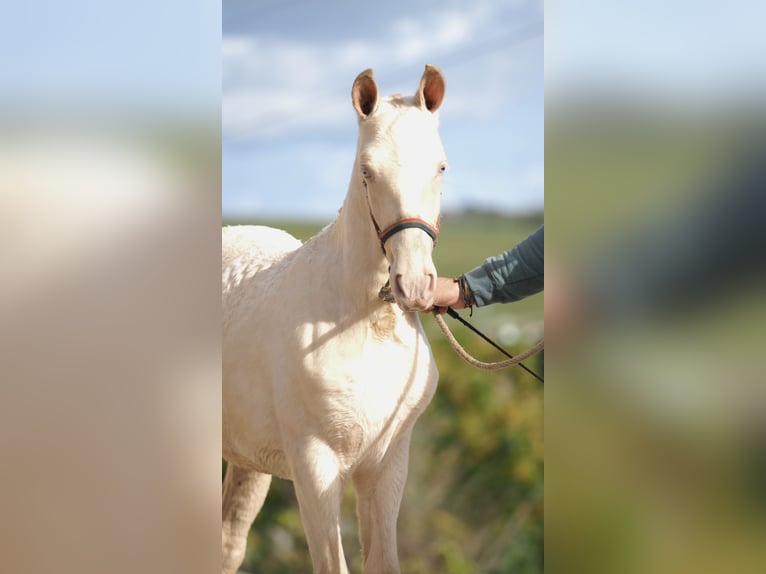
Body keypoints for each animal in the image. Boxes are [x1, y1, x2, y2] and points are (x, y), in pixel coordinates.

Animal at [222, 65, 450, 574]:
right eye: (367, 171)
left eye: (441, 167)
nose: (414, 284)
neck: (363, 326)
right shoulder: (315, 468)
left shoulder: (386, 468)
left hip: (246, 459)